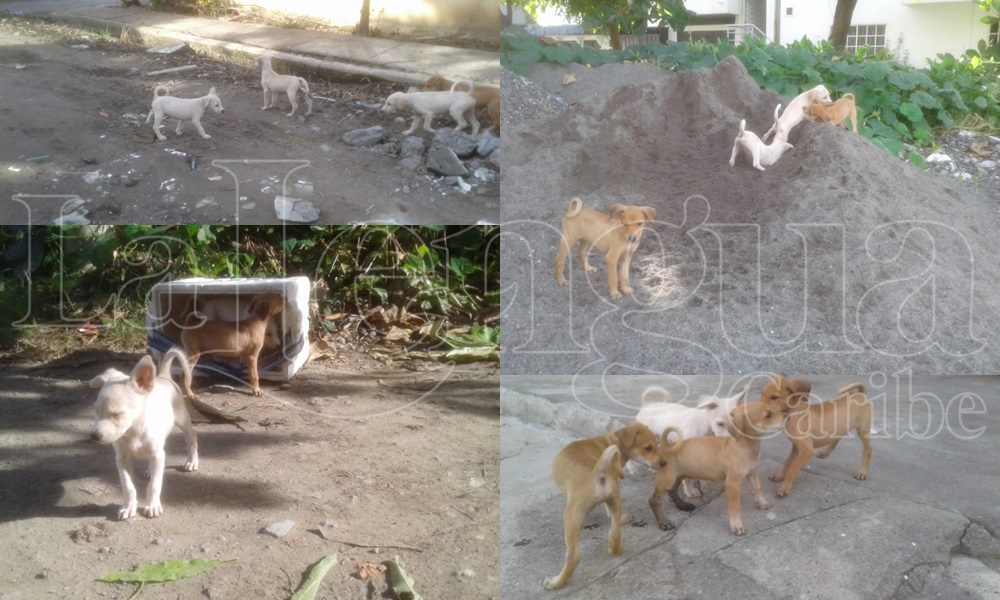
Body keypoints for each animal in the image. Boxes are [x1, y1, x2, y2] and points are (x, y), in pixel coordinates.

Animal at [90, 346, 199, 520]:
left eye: (118, 414)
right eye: (96, 410)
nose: (94, 436)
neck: (133, 432)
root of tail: (163, 376)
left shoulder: (158, 455)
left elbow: (154, 485)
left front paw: (152, 505)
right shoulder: (122, 459)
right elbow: (128, 486)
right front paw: (128, 507)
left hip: (182, 420)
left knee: (192, 437)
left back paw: (192, 461)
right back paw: (149, 470)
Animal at [544, 422, 668, 592]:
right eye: (649, 448)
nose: (664, 463)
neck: (611, 441)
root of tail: (597, 472)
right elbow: (607, 510)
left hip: (571, 516)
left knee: (573, 557)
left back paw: (556, 582)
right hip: (615, 501)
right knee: (614, 533)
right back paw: (616, 547)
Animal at [648, 404, 788, 536]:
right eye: (768, 415)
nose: (788, 417)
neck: (743, 446)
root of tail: (667, 447)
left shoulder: (752, 473)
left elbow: (758, 488)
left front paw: (762, 503)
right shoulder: (732, 484)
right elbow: (735, 506)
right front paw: (736, 525)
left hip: (679, 475)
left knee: (672, 490)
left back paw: (683, 505)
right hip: (667, 479)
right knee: (654, 501)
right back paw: (663, 522)